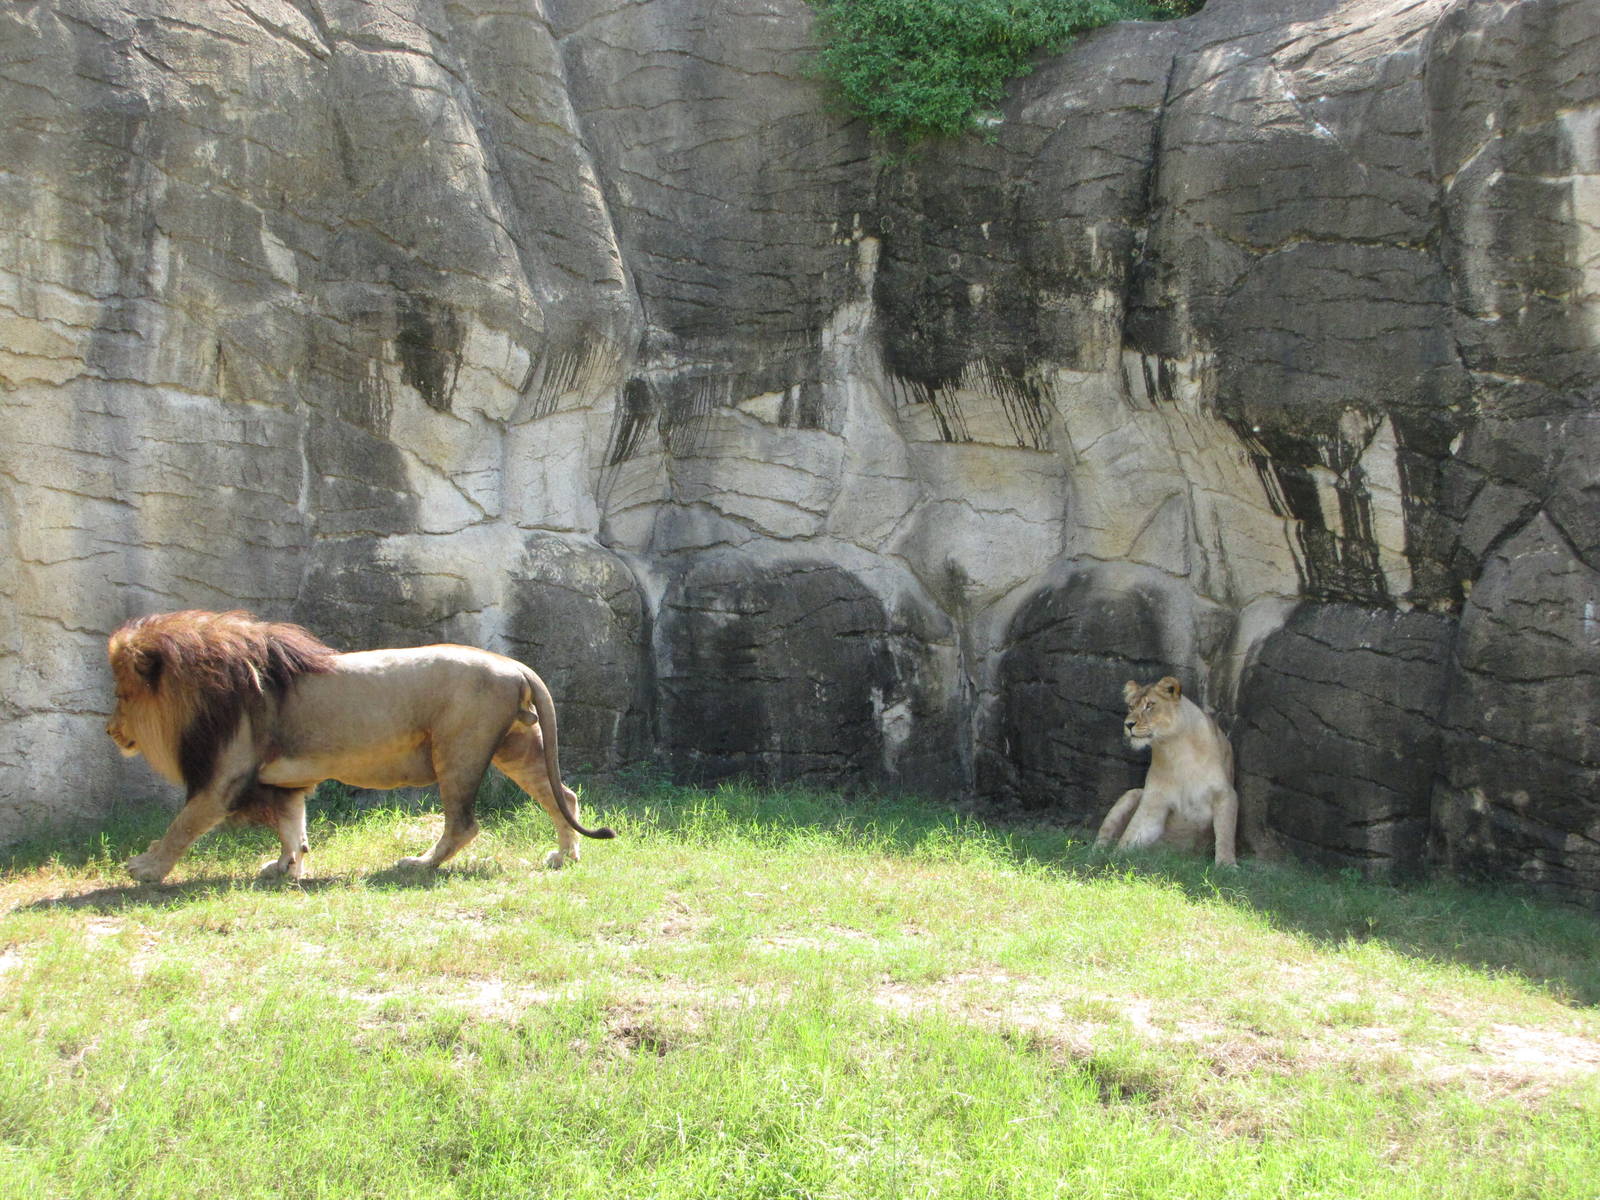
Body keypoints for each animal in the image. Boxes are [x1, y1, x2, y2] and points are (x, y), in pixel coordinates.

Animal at [105, 609, 615, 884]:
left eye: (121, 695)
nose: (109, 730)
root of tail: (513, 664)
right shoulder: (281, 780)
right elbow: (292, 826)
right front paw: (286, 868)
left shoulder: (223, 777)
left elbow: (182, 824)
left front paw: (146, 867)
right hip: (515, 746)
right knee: (563, 796)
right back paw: (565, 856)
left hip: (457, 748)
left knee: (464, 824)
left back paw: (419, 864)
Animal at [1094, 676, 1238, 866]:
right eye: (1131, 707)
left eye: (1149, 705)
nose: (1128, 724)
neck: (1175, 747)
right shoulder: (1154, 800)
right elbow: (1132, 833)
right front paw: (1114, 860)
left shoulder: (1225, 793)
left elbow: (1225, 833)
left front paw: (1227, 865)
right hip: (1133, 793)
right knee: (1100, 840)